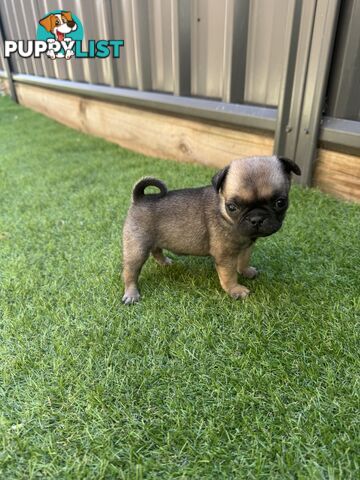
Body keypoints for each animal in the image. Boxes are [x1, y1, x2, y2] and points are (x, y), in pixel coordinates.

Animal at [121, 156, 300, 306]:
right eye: (232, 207)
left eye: (280, 202)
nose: (256, 218)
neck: (224, 213)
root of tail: (140, 198)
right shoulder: (225, 257)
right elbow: (229, 275)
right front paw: (235, 290)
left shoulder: (246, 246)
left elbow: (243, 260)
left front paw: (246, 271)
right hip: (137, 249)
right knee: (130, 272)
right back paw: (131, 293)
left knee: (156, 250)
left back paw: (164, 262)